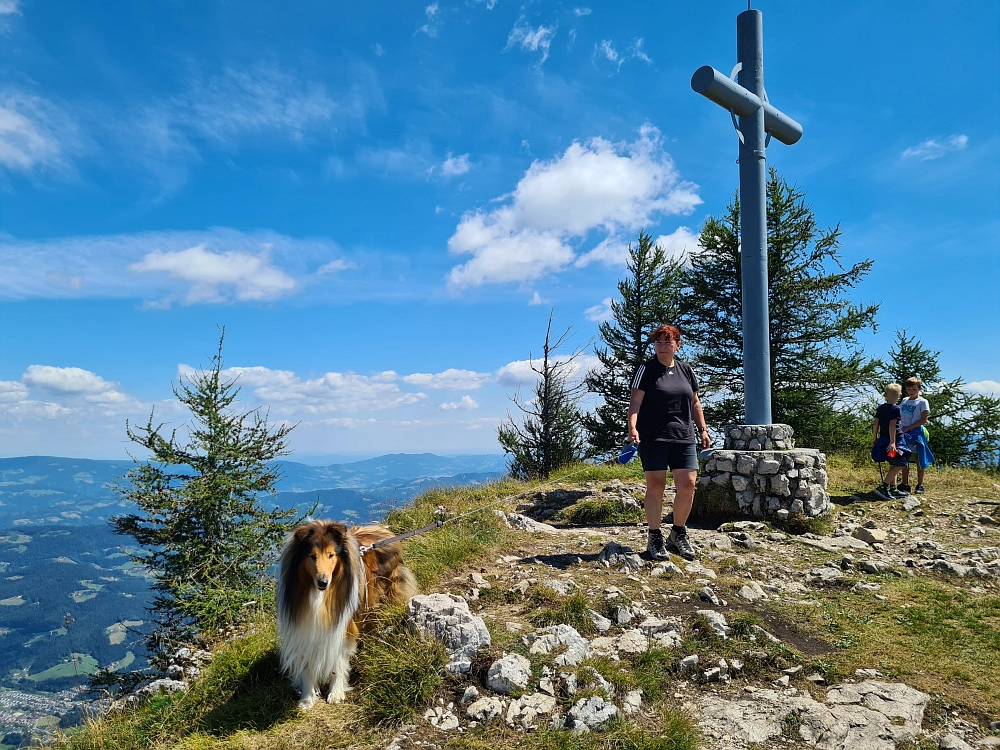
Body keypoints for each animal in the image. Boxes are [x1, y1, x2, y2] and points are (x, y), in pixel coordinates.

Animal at [278, 524, 414, 712]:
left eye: (331, 555)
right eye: (312, 556)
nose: (323, 583)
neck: (319, 596)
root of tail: (382, 528)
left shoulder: (343, 626)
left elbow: (338, 662)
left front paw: (336, 693)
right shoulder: (304, 626)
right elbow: (307, 665)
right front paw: (307, 698)